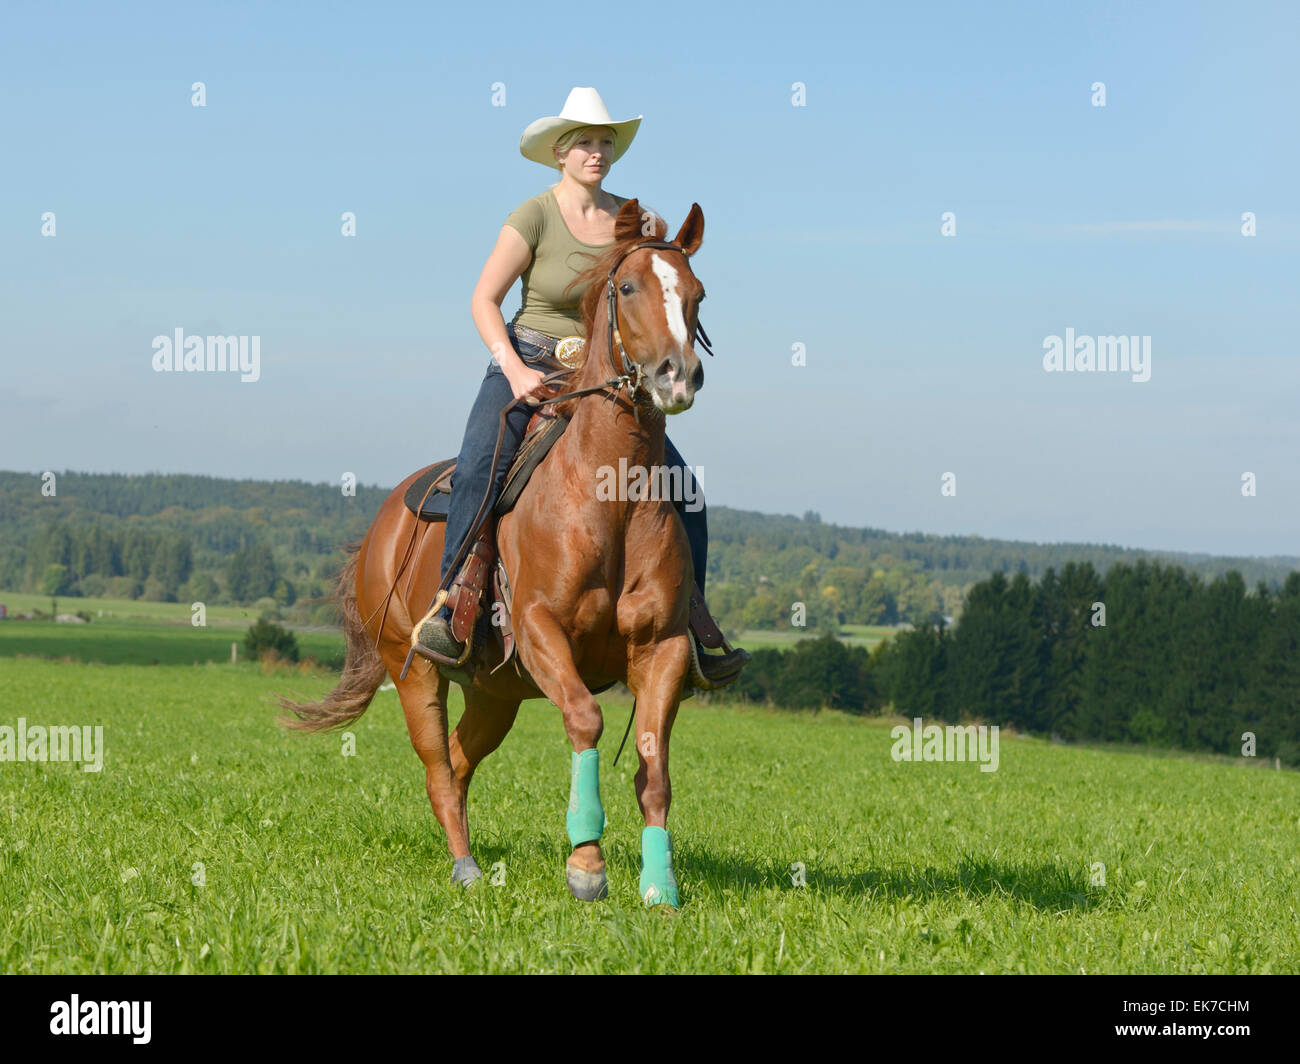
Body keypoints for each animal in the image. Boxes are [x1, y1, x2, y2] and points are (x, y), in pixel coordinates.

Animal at [279, 196, 712, 905]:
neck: (607, 494)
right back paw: (466, 867)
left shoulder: (664, 645)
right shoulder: (540, 629)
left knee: (457, 763)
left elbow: (655, 767)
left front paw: (660, 889)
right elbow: (586, 720)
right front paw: (586, 864)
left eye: (698, 293)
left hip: (495, 693)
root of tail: (376, 533)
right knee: (436, 765)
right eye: (627, 287)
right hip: (414, 671)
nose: (677, 377)